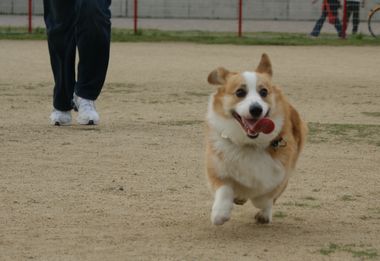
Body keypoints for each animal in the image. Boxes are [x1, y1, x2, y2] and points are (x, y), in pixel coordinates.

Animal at [205, 52, 306, 223]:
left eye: (264, 92)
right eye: (240, 92)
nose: (256, 109)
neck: (249, 143)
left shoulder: (281, 174)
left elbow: (263, 198)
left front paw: (259, 203)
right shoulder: (217, 168)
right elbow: (225, 190)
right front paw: (220, 213)